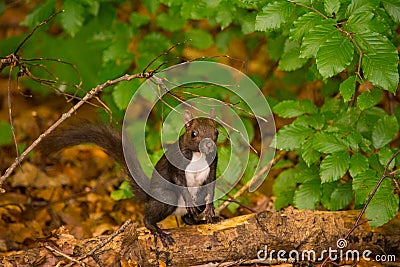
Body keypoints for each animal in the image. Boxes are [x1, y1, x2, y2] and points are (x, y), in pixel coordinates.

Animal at [38, 109, 219, 247]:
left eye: (216, 132)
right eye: (194, 134)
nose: (209, 145)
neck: (198, 155)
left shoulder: (213, 164)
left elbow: (211, 184)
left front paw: (210, 210)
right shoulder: (176, 162)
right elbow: (178, 180)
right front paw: (191, 202)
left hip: (196, 195)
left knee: (187, 218)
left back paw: (201, 220)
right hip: (166, 197)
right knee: (148, 218)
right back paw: (159, 231)